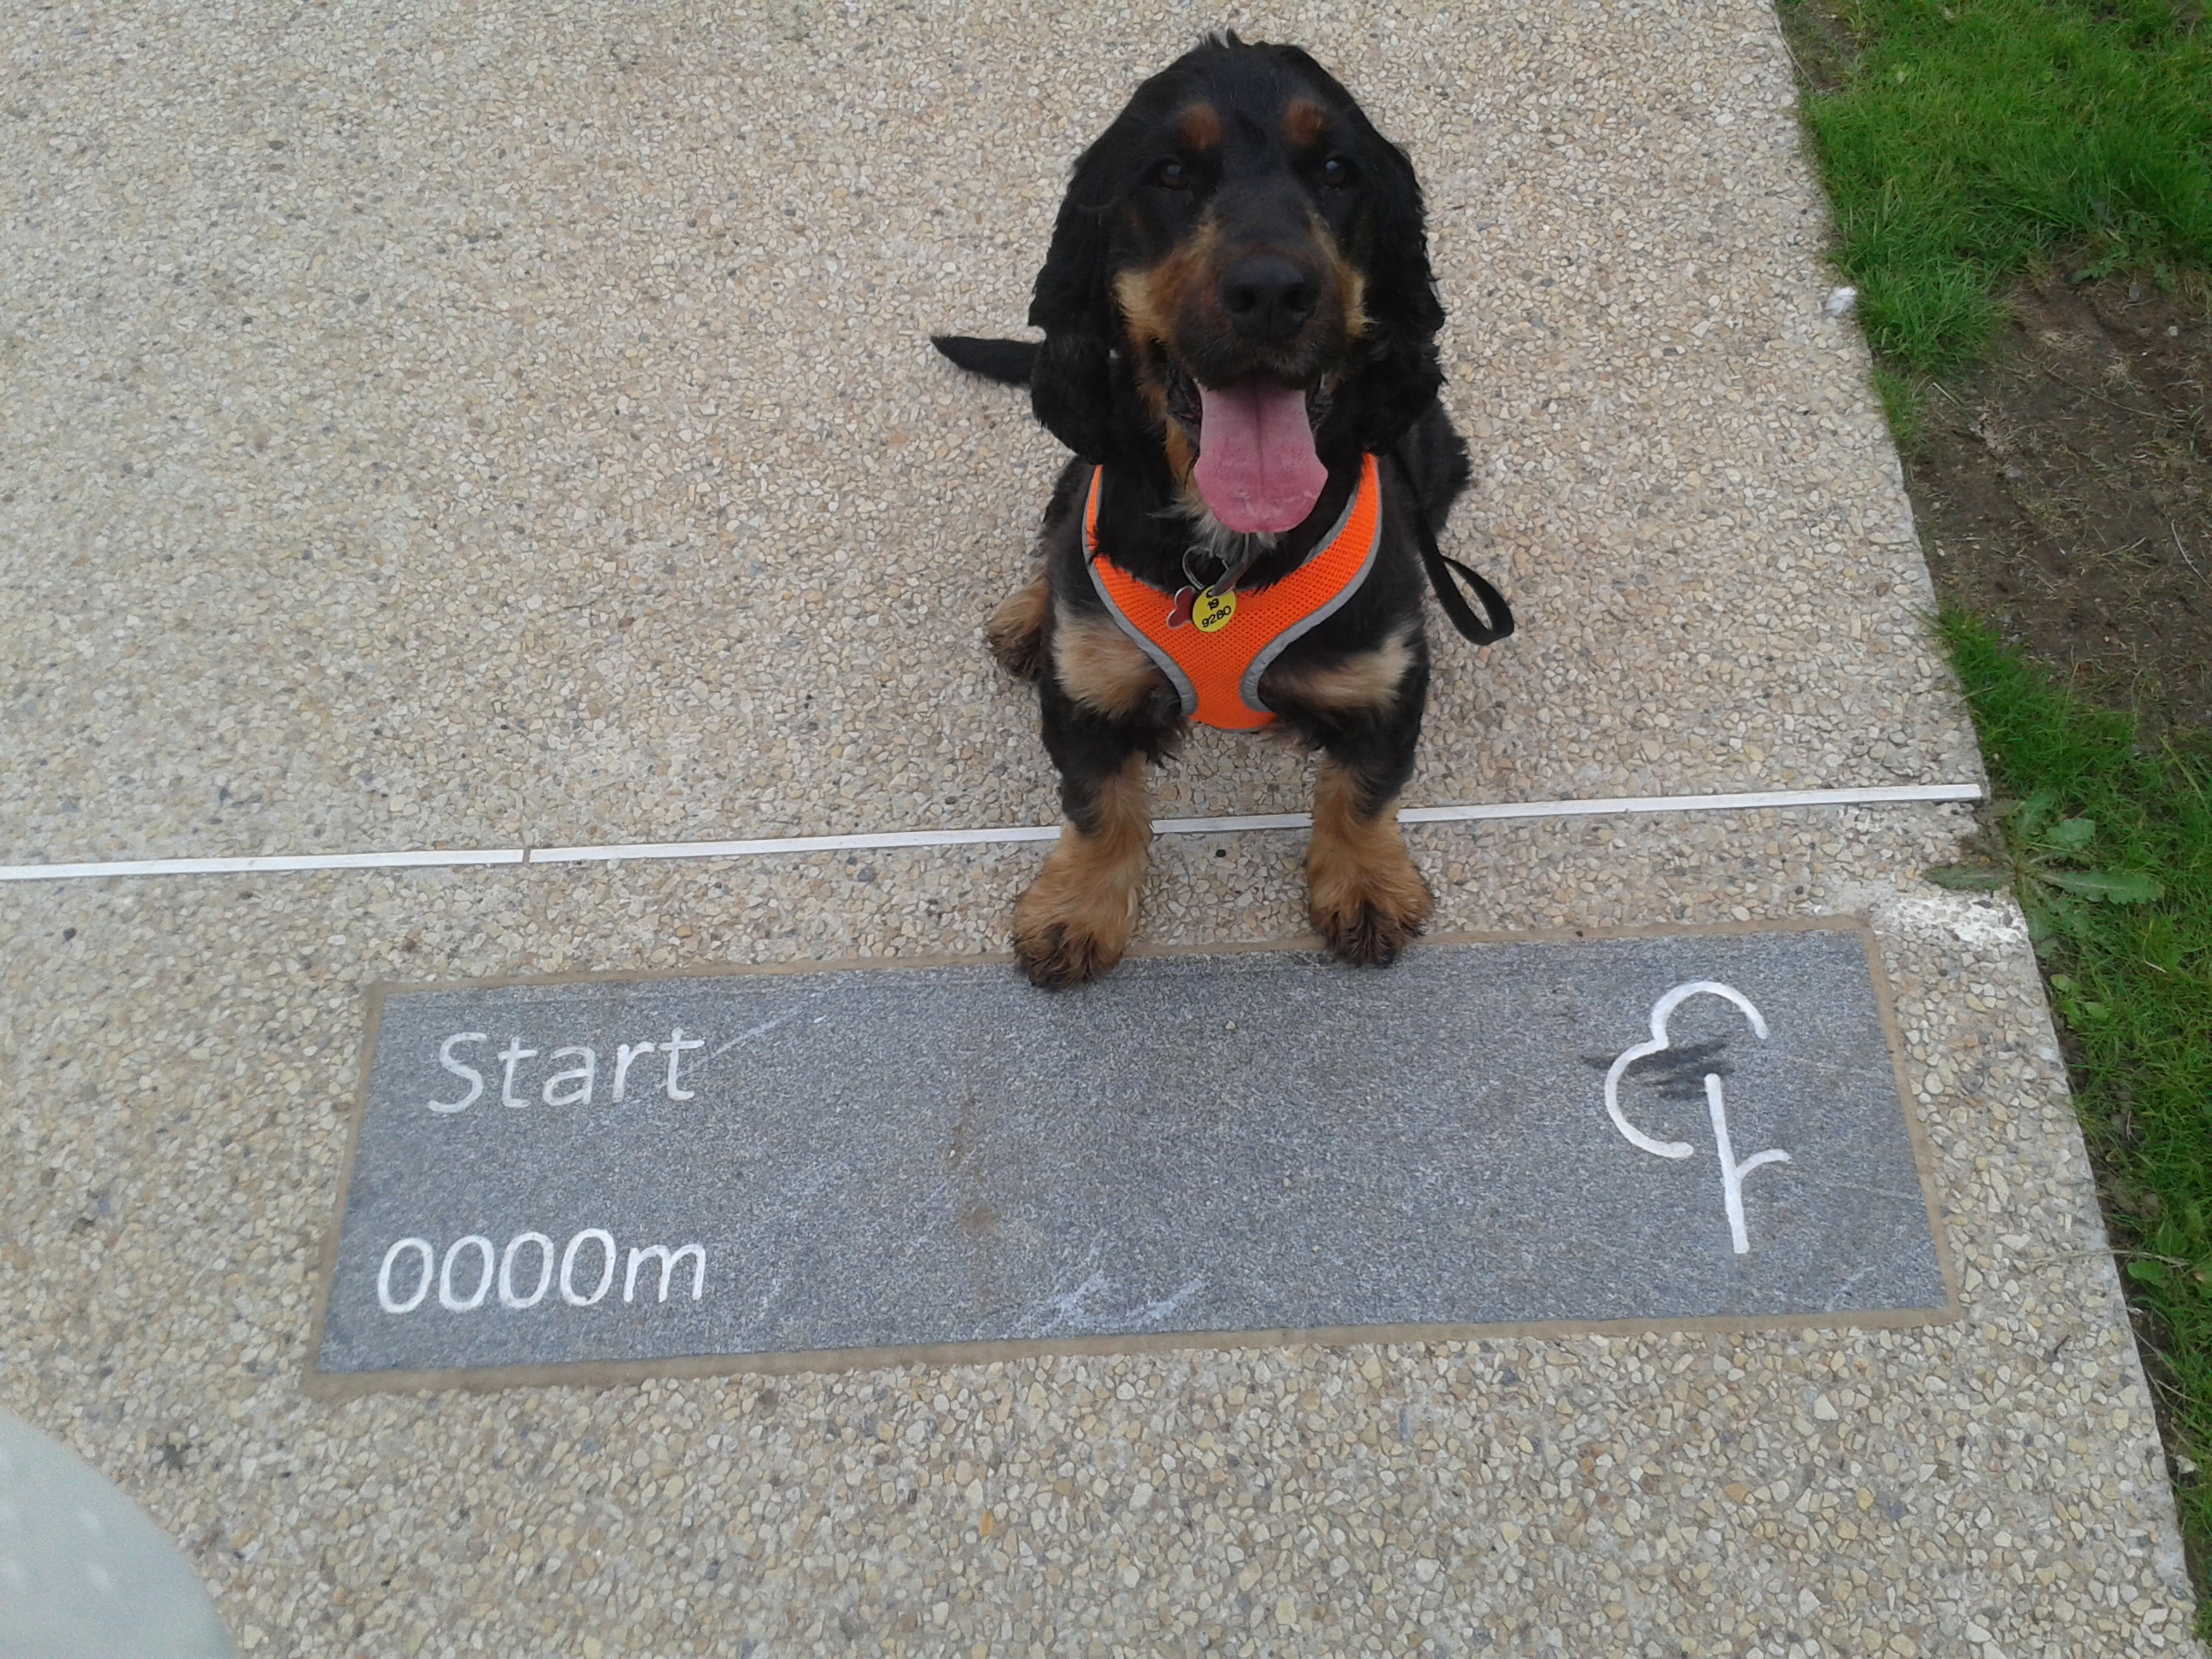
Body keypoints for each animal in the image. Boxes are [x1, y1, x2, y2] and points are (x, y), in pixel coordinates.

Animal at [935, 33, 1507, 989]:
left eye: (1339, 171)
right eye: (1169, 172)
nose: (1272, 290)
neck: (1224, 546)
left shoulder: (1387, 678)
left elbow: (1364, 791)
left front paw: (1365, 886)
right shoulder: (1083, 692)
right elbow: (1097, 802)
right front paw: (1076, 909)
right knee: (1057, 529)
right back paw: (1026, 616)